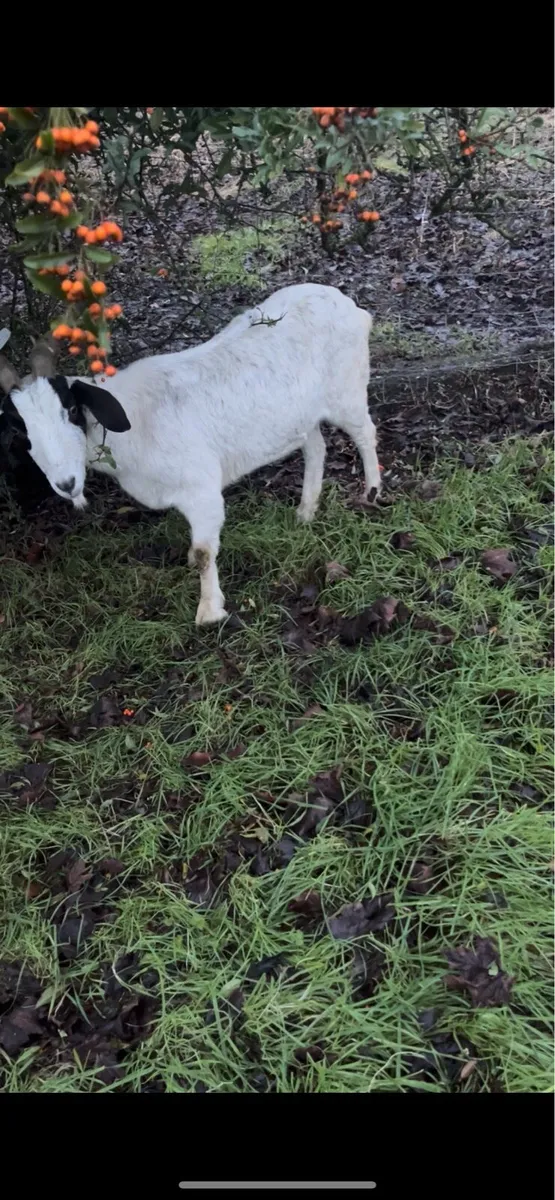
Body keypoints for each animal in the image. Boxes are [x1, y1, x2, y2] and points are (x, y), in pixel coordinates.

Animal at [0, 283, 381, 625]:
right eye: (20, 428)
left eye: (71, 410)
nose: (66, 484)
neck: (138, 420)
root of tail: (349, 305)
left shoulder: (202, 490)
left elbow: (204, 552)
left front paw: (210, 612)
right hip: (302, 416)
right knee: (316, 446)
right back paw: (305, 512)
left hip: (347, 392)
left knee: (366, 434)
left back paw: (372, 492)